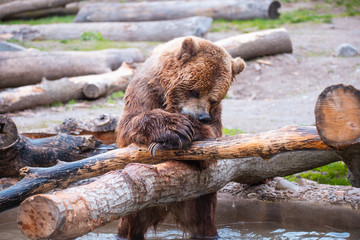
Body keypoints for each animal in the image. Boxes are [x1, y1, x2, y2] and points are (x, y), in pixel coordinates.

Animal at [116, 36, 246, 240]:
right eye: (195, 91)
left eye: (214, 99)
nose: (202, 116)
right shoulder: (145, 90)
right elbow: (129, 125)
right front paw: (177, 128)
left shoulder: (216, 115)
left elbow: (213, 142)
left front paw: (195, 130)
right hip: (138, 207)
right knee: (131, 224)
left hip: (198, 200)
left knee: (203, 223)